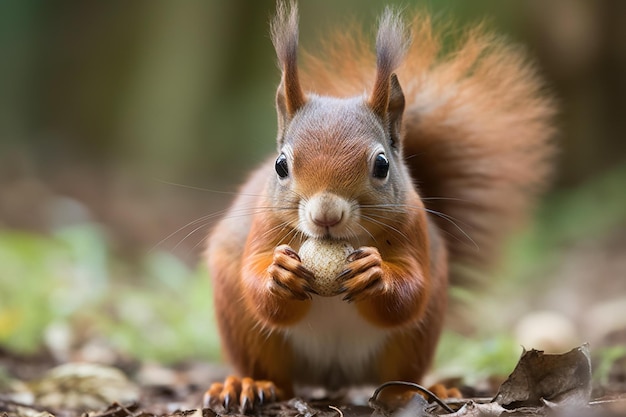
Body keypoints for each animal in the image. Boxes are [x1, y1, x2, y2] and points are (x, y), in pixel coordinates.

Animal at [202, 0, 552, 412]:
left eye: (382, 165)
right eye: (280, 165)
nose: (325, 215)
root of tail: (334, 378)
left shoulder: (414, 228)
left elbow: (409, 291)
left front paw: (375, 273)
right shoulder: (264, 226)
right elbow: (257, 283)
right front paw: (279, 272)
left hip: (416, 337)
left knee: (399, 369)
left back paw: (414, 393)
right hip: (246, 330)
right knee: (276, 377)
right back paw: (249, 384)